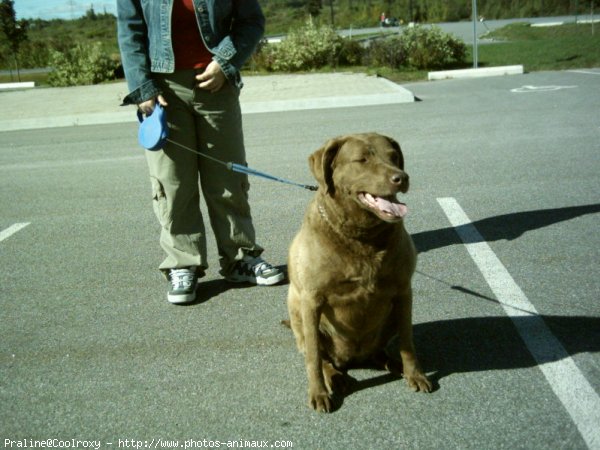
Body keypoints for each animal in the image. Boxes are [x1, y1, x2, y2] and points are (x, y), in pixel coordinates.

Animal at [288, 133, 432, 412]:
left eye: (394, 156)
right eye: (362, 159)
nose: (401, 177)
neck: (363, 237)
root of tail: (353, 358)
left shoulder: (403, 291)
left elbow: (408, 341)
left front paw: (415, 373)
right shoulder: (311, 299)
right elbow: (314, 355)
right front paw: (318, 392)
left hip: (391, 316)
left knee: (382, 348)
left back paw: (392, 362)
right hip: (297, 312)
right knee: (317, 353)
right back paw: (335, 376)